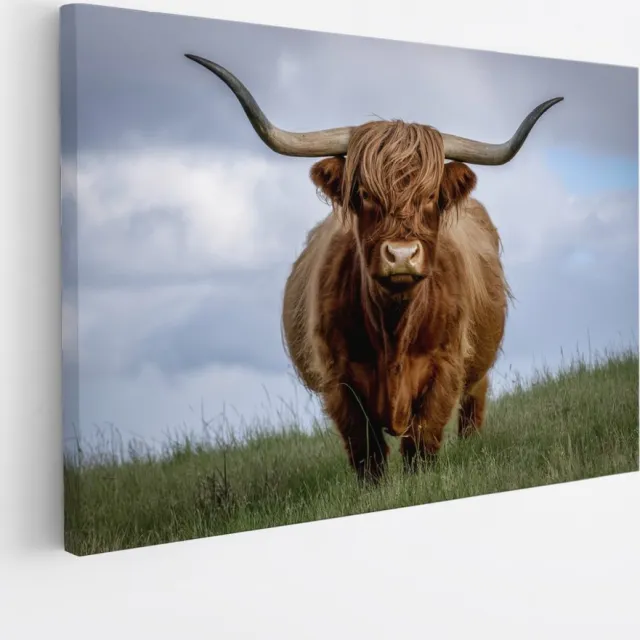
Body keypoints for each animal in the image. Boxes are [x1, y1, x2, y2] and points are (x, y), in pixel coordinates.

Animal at [185, 54, 563, 482]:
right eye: (364, 194)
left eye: (430, 196)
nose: (401, 254)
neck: (393, 329)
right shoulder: (340, 380)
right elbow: (367, 451)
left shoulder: (446, 367)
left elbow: (422, 442)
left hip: (478, 367)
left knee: (473, 407)